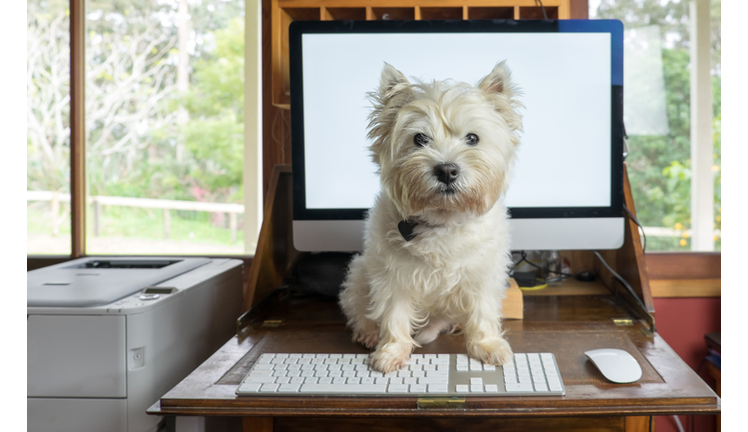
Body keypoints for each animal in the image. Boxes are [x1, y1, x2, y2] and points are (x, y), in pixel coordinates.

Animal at [338, 60, 520, 372]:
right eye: (419, 138)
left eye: (473, 138)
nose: (446, 170)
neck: (444, 220)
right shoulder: (393, 277)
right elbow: (394, 314)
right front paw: (392, 352)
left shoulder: (483, 274)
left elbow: (483, 310)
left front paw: (487, 345)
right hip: (360, 271)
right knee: (359, 308)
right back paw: (369, 334)